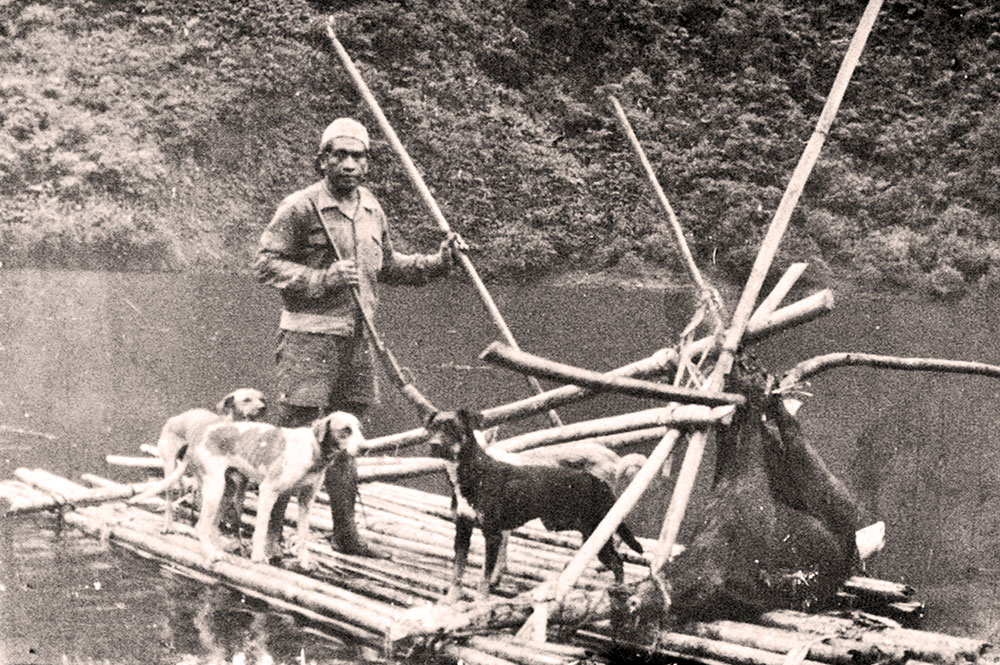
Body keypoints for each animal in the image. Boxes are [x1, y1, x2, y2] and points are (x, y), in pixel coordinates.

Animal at [154, 386, 268, 532]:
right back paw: (169, 525)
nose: (263, 407)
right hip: (171, 470)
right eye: (247, 400)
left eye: (262, 399)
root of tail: (175, 418)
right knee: (171, 499)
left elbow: (234, 510)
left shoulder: (240, 484)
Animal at [424, 410, 644, 600]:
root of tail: (600, 482)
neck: (475, 473)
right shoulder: (463, 529)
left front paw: (480, 602)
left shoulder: (493, 534)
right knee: (616, 560)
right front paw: (450, 600)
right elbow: (458, 570)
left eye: (453, 428)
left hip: (597, 532)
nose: (433, 445)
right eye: (432, 428)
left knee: (617, 561)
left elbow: (485, 576)